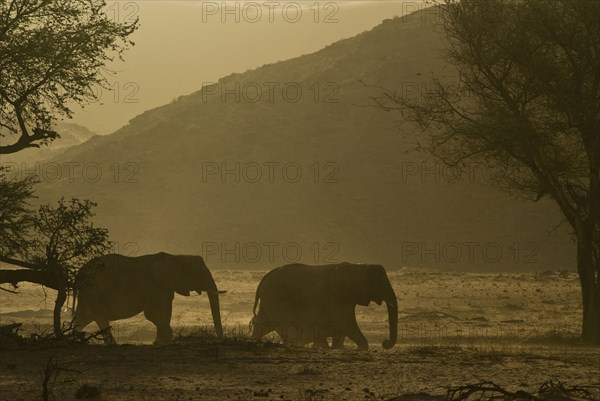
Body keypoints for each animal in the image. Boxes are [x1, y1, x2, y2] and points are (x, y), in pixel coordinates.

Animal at [74, 252, 224, 342]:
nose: (220, 339)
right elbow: (153, 314)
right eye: (197, 274)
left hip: (88, 294)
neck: (176, 256)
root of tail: (78, 275)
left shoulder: (165, 288)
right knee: (101, 317)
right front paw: (161, 342)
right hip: (94, 292)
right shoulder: (154, 287)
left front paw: (160, 342)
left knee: (83, 317)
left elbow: (165, 313)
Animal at [250, 260, 398, 348]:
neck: (359, 267)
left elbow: (341, 330)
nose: (385, 343)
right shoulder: (337, 298)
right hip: (277, 300)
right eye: (379, 282)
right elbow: (347, 324)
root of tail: (265, 277)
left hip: (270, 301)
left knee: (262, 321)